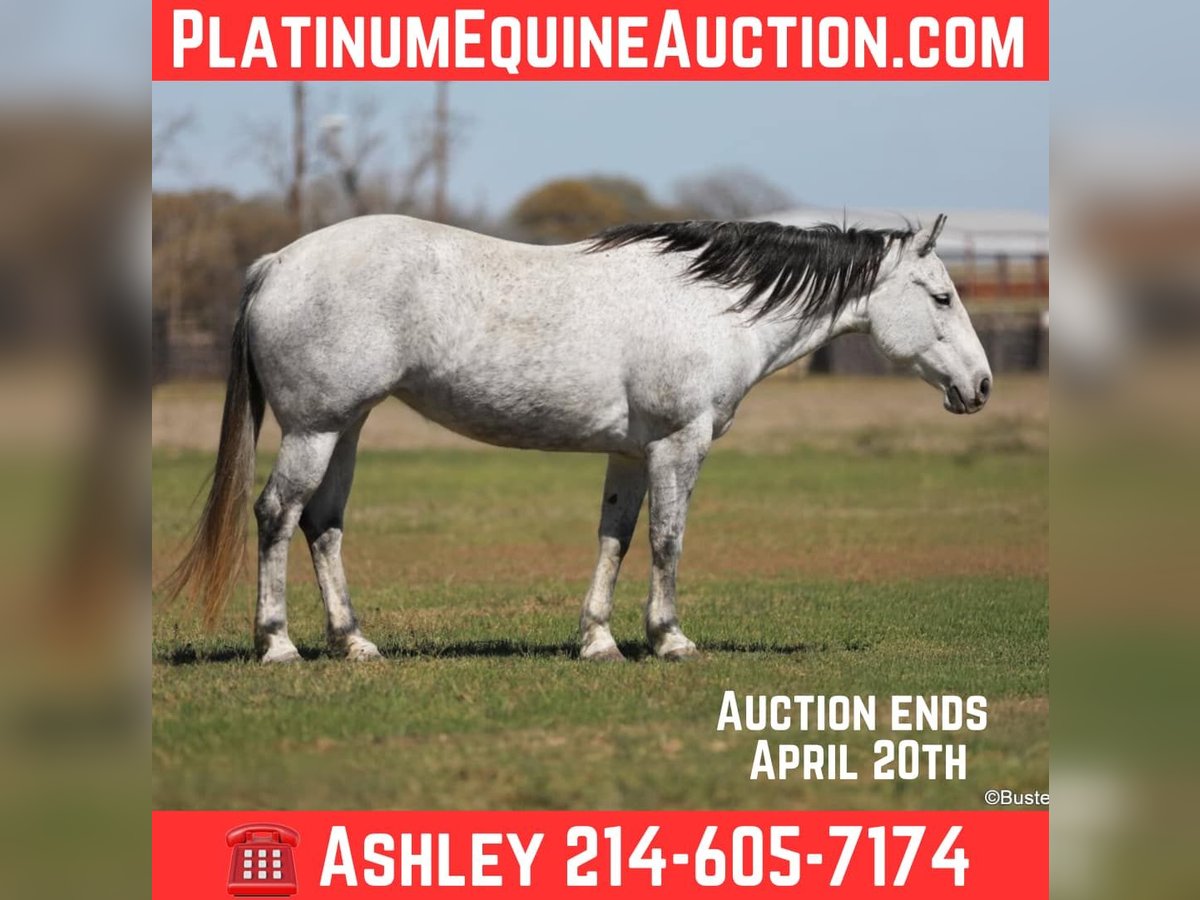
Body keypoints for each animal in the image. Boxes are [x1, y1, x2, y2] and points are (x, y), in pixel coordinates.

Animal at [162, 213, 991, 663]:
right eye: (941, 297)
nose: (981, 386)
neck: (712, 307)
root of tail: (277, 262)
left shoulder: (629, 453)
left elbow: (613, 541)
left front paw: (598, 639)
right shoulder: (678, 446)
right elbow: (666, 541)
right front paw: (668, 638)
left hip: (347, 428)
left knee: (324, 524)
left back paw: (354, 642)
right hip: (316, 429)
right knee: (277, 516)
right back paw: (277, 643)